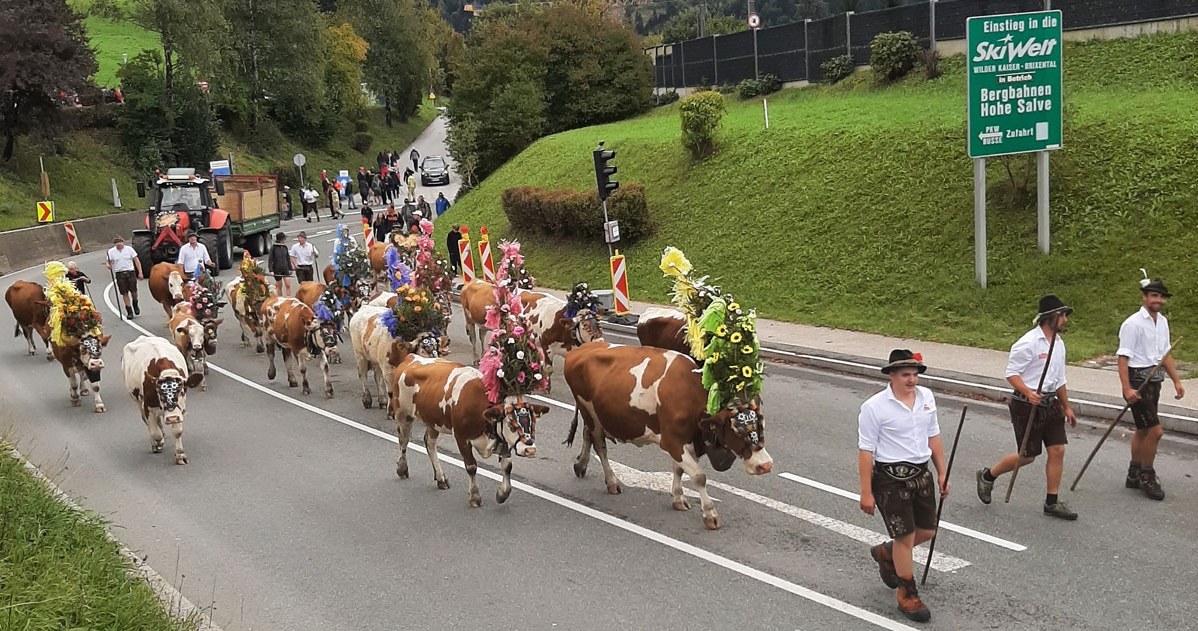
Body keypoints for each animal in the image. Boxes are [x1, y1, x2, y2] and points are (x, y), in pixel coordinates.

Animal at [42, 261, 112, 411]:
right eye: (83, 349)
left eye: (99, 348)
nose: (97, 362)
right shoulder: (66, 364)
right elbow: (73, 382)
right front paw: (75, 398)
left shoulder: (90, 367)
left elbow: (95, 385)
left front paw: (99, 404)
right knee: (74, 378)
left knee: (81, 374)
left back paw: (84, 389)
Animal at [123, 335, 203, 464]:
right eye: (159, 394)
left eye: (181, 391)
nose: (172, 418)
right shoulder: (147, 406)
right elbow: (156, 434)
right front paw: (158, 443)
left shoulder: (180, 409)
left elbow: (177, 431)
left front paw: (180, 455)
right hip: (138, 402)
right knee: (148, 423)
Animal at [388, 340, 548, 507]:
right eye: (511, 422)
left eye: (533, 421)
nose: (529, 449)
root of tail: (410, 358)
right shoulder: (461, 437)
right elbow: (471, 466)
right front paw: (475, 496)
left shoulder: (502, 440)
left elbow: (507, 466)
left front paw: (502, 493)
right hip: (403, 414)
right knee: (403, 440)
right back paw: (402, 468)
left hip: (434, 421)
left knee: (429, 443)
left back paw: (441, 478)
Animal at [563, 342, 771, 531]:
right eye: (737, 429)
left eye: (761, 424)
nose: (766, 465)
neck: (690, 394)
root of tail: (581, 349)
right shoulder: (671, 441)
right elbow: (698, 476)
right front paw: (710, 514)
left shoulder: (685, 440)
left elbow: (679, 469)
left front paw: (678, 498)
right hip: (589, 411)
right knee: (600, 446)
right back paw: (612, 481)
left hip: (596, 416)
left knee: (587, 435)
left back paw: (581, 465)